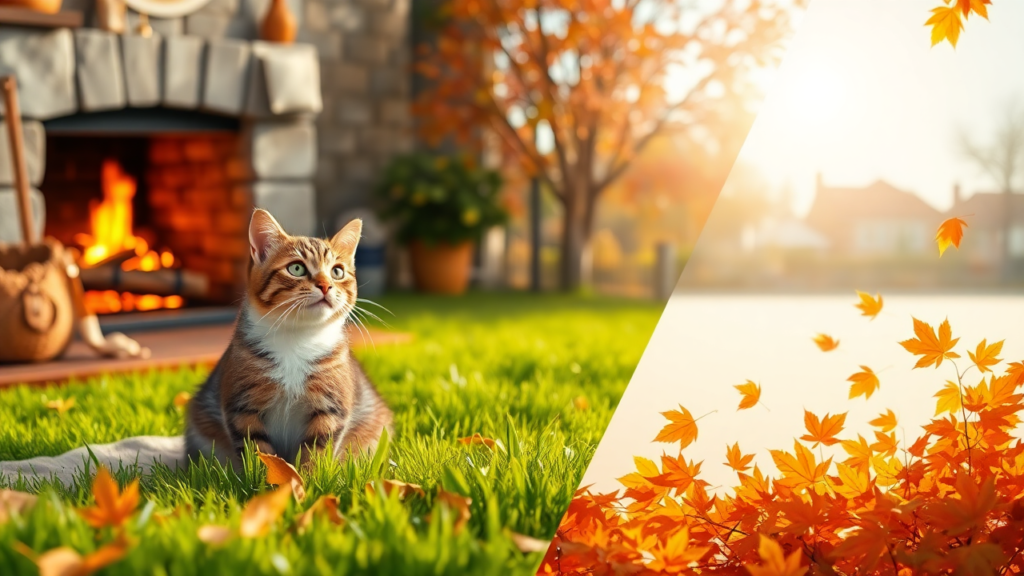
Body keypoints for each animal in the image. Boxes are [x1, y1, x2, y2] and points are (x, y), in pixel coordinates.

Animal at [184, 208, 391, 463]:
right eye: (296, 268)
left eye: (337, 271)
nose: (325, 286)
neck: (297, 338)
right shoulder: (242, 405)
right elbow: (257, 449)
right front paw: (267, 473)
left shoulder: (331, 405)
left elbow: (317, 448)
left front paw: (310, 473)